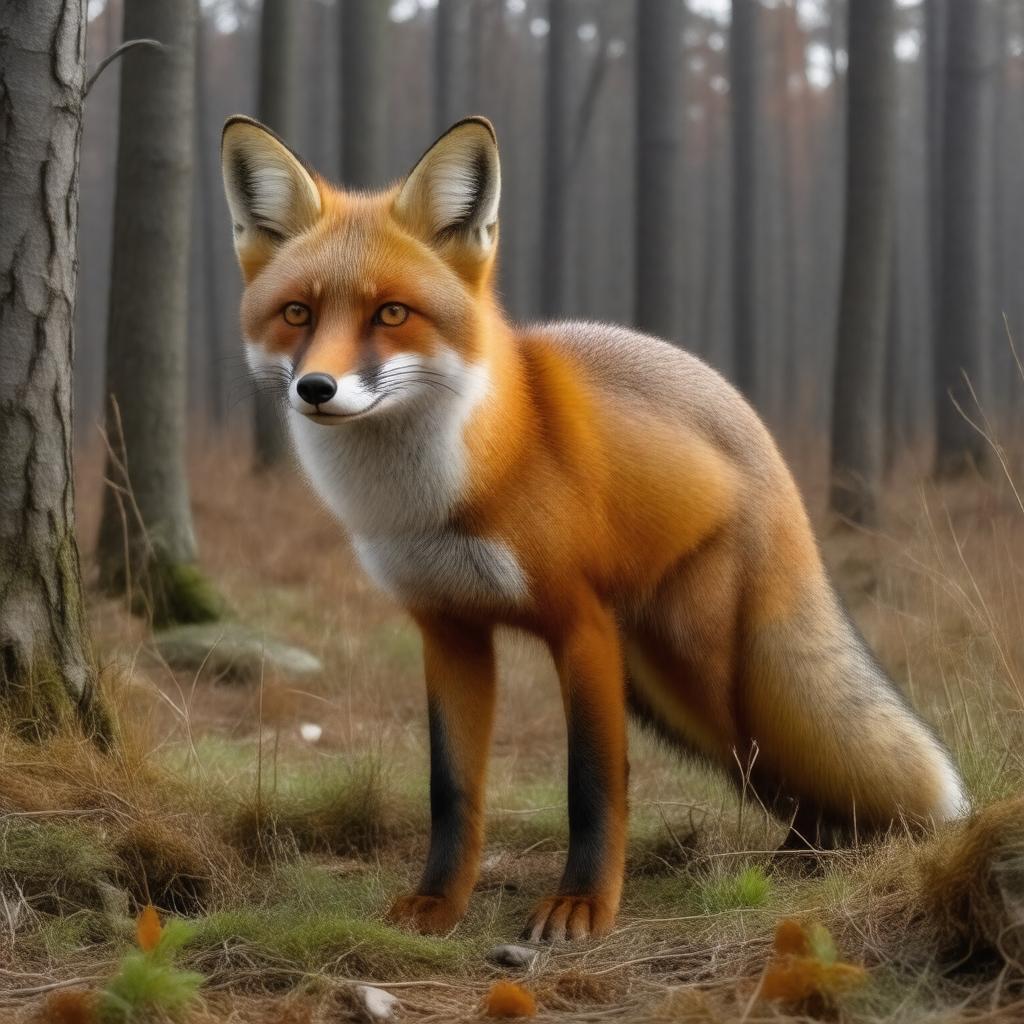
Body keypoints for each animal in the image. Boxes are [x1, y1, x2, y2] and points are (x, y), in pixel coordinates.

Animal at [220, 114, 967, 942]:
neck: (446, 493)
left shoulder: (580, 625)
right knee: (768, 764)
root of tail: (746, 418)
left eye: (391, 313)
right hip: (660, 690)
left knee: (771, 748)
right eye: (297, 313)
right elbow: (451, 790)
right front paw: (439, 902)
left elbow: (593, 784)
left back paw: (818, 854)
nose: (316, 388)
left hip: (698, 668)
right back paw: (818, 849)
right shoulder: (449, 631)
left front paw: (581, 906)